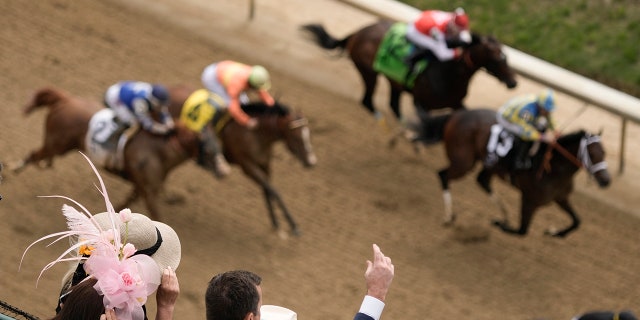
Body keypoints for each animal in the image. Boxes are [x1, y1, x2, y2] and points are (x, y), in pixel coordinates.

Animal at [8, 86, 220, 221]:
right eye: (210, 149)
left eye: (218, 146)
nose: (223, 171)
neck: (159, 151)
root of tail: (65, 99)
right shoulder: (149, 191)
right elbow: (156, 216)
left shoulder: (140, 187)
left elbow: (124, 206)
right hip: (56, 144)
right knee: (34, 155)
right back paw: (10, 170)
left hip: (59, 146)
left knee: (39, 157)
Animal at [165, 85, 316, 238]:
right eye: (296, 137)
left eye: (308, 133)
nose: (311, 161)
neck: (255, 134)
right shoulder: (248, 167)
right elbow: (275, 191)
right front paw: (293, 226)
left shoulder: (265, 164)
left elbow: (267, 190)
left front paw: (276, 224)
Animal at [302, 20, 516, 120]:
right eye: (497, 58)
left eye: (506, 56)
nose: (513, 82)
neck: (449, 73)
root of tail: (359, 32)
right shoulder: (421, 103)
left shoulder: (456, 103)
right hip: (369, 72)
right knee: (367, 100)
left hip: (394, 82)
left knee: (393, 104)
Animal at [428, 109, 612, 236]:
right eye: (593, 154)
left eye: (604, 153)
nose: (606, 180)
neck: (553, 169)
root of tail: (456, 115)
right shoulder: (529, 200)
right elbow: (521, 230)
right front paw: (499, 224)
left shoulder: (560, 198)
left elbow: (576, 221)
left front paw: (554, 232)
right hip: (464, 163)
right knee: (443, 175)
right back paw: (449, 216)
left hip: (489, 165)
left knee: (482, 181)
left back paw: (503, 213)